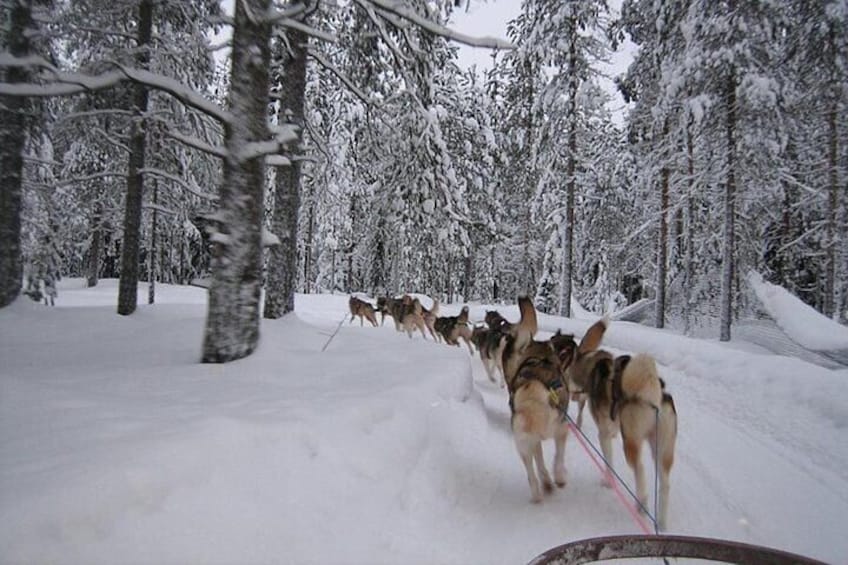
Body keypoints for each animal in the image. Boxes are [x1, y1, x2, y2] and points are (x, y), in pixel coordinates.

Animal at [568, 320, 680, 532]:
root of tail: (654, 395)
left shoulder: (604, 434)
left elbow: (608, 463)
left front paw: (607, 481)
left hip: (631, 442)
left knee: (640, 469)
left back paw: (642, 503)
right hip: (662, 449)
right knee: (665, 484)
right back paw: (661, 523)